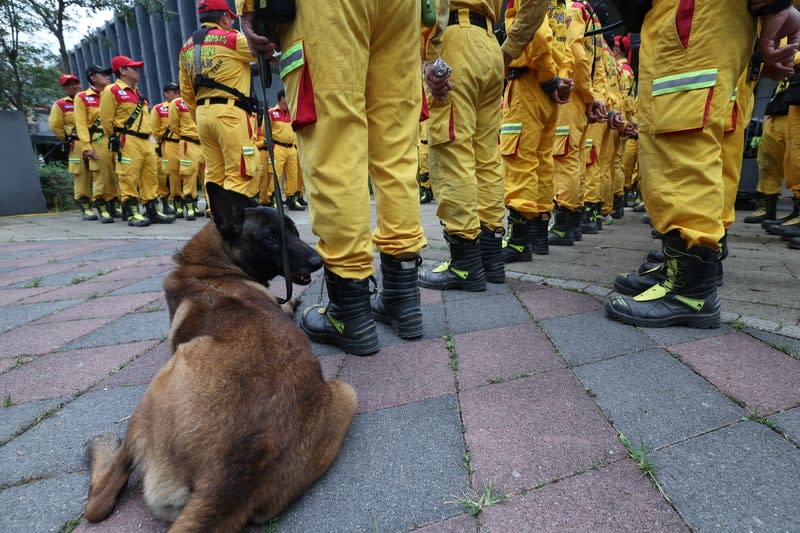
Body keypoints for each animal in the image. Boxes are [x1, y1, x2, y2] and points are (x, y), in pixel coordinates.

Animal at [84, 184, 356, 532]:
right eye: (272, 237)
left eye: (293, 231)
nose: (318, 261)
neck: (212, 267)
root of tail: (225, 484)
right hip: (347, 392)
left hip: (160, 383)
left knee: (100, 501)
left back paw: (102, 446)